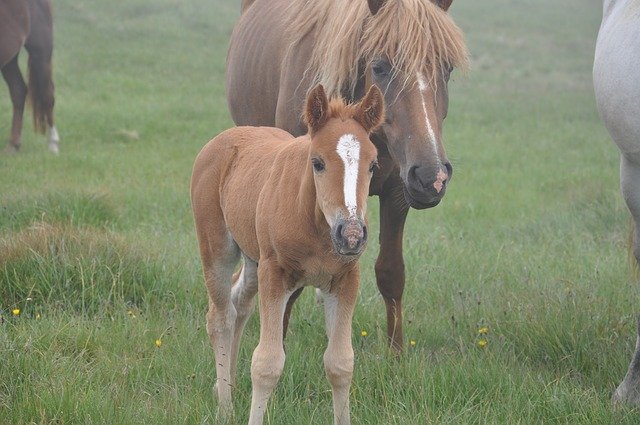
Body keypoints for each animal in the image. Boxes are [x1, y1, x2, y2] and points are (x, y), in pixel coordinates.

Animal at [0, 0, 58, 152]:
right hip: (10, 58)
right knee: (18, 90)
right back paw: (13, 145)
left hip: (40, 50)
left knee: (47, 93)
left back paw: (53, 145)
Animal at [228, 0, 468, 352]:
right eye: (379, 67)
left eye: (447, 68)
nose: (431, 176)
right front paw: (277, 349)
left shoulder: (397, 194)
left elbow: (391, 272)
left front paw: (396, 355)